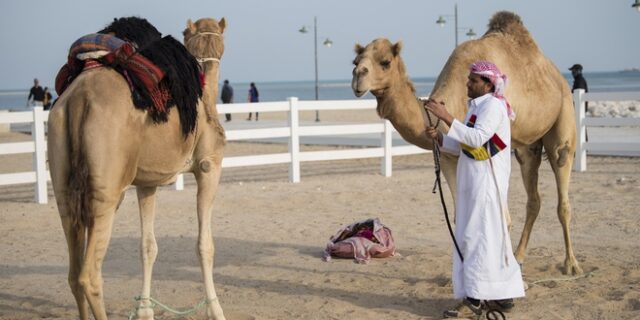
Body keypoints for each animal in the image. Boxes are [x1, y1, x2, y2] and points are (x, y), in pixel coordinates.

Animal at [49, 18, 230, 320]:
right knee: (89, 275)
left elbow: (148, 246)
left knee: (73, 274)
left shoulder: (147, 182)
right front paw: (216, 310)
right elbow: (205, 246)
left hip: (63, 180)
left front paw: (145, 309)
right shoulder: (209, 165)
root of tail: (78, 100)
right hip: (106, 189)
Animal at [352, 10, 584, 276]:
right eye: (355, 61)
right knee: (533, 197)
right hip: (528, 146)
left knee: (562, 183)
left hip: (564, 116)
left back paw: (571, 264)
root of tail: (557, 76)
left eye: (385, 61)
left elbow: (502, 217)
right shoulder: (449, 157)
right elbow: (458, 216)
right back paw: (519, 256)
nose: (358, 76)